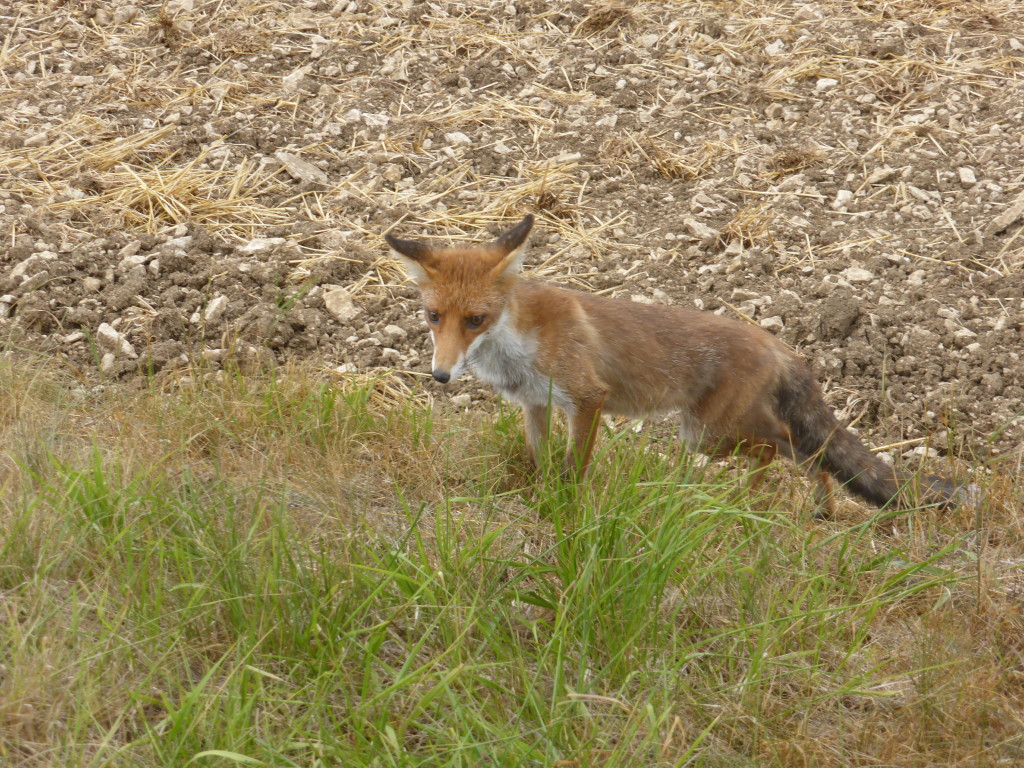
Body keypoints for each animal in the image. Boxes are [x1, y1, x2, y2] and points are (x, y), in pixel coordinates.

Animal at [385, 215, 966, 518]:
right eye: (434, 317)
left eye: (476, 320)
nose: (439, 376)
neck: (517, 343)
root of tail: (775, 343)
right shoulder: (535, 404)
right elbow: (539, 460)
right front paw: (539, 496)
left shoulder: (587, 398)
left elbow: (574, 467)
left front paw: (567, 509)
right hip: (713, 431)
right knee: (807, 453)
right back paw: (812, 509)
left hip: (707, 433)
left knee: (783, 446)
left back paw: (746, 503)